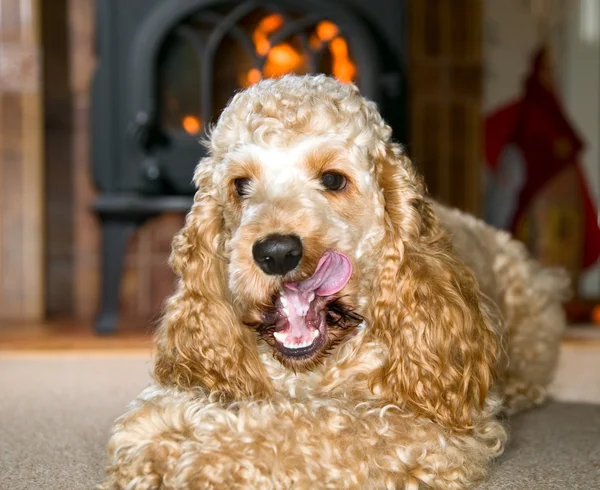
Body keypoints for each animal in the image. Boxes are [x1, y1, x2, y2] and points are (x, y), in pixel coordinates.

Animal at [101, 74, 568, 488]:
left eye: (333, 180)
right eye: (240, 185)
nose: (276, 252)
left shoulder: (423, 430)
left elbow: (308, 429)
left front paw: (204, 454)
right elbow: (149, 416)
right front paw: (169, 432)